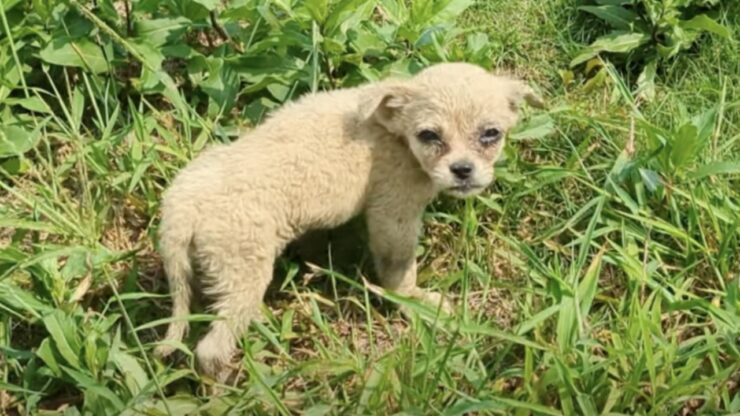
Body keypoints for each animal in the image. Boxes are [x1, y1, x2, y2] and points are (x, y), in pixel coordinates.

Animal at [155, 62, 544, 380]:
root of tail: (180, 207)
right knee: (211, 349)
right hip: (243, 273)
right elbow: (399, 271)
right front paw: (414, 300)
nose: (462, 170)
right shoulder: (393, 214)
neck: (394, 133)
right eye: (429, 136)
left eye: (491, 133)